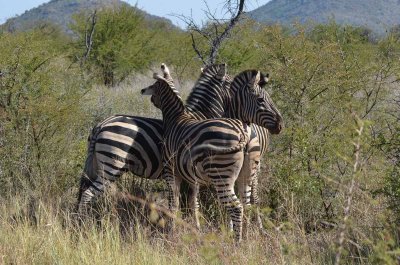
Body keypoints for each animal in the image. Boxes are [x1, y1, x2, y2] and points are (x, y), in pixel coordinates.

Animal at [141, 64, 282, 241]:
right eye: (261, 99)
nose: (280, 124)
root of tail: (243, 133)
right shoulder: (191, 174)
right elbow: (193, 201)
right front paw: (196, 227)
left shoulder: (171, 169)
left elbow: (175, 202)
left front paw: (173, 231)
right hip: (245, 172)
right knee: (245, 202)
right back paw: (246, 235)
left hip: (227, 173)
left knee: (242, 204)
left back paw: (241, 239)